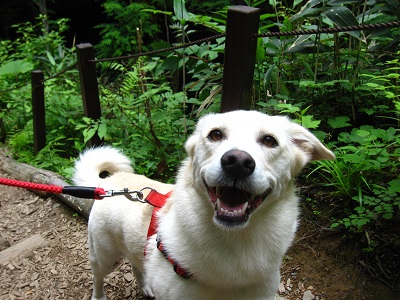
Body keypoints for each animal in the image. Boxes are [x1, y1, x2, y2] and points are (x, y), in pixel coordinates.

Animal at [72, 110, 334, 300]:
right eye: (215, 135)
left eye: (269, 140)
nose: (237, 161)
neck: (236, 244)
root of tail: (109, 183)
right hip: (103, 256)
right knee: (98, 277)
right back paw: (99, 296)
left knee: (137, 264)